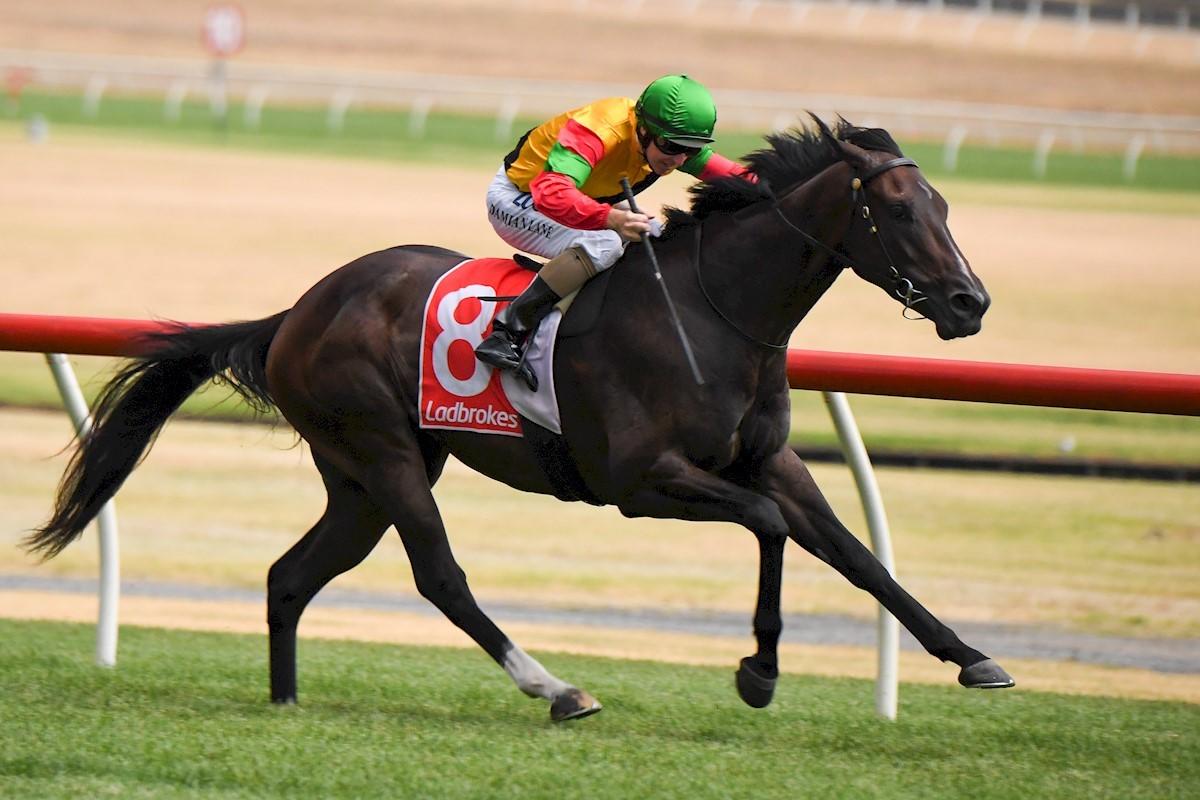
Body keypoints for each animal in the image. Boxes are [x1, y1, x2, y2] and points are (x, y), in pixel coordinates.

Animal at [26, 117, 1012, 722]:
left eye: (943, 204)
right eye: (897, 210)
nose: (970, 303)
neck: (716, 313)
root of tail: (299, 310)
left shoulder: (769, 461)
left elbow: (855, 555)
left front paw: (971, 656)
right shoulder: (642, 481)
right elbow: (770, 527)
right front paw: (759, 672)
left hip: (361, 478)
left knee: (289, 577)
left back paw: (287, 703)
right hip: (383, 450)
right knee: (440, 577)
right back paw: (556, 688)